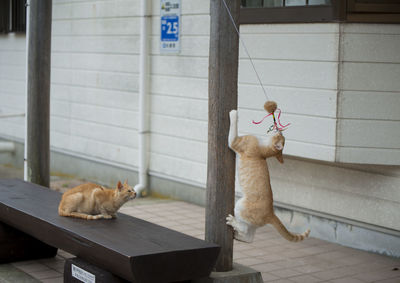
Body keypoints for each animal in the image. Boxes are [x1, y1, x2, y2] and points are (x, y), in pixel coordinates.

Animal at [225, 105, 310, 243]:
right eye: (282, 135)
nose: (280, 130)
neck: (264, 149)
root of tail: (271, 213)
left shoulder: (235, 142)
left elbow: (233, 126)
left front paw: (234, 113)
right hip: (251, 221)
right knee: (249, 237)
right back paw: (237, 236)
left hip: (240, 206)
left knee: (244, 229)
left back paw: (232, 222)